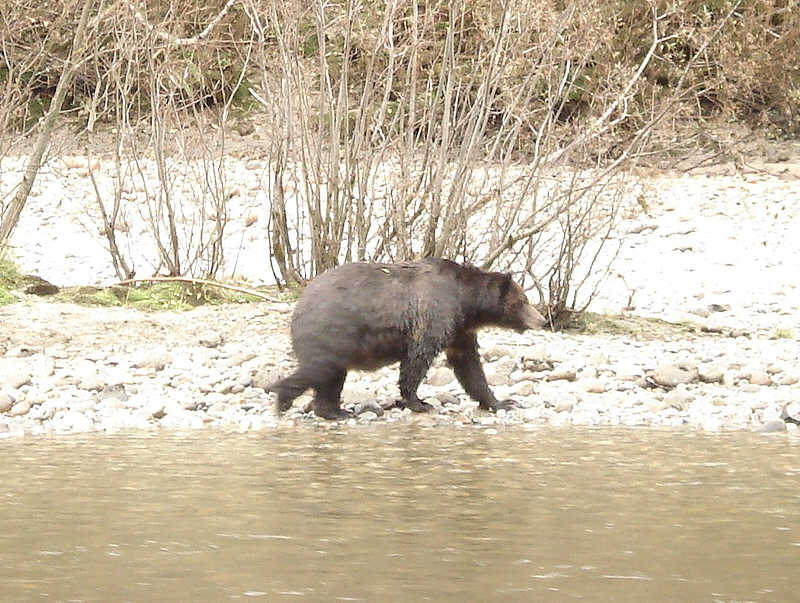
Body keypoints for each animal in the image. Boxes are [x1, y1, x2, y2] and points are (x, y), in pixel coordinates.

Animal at [267, 258, 547, 419]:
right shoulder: (434, 314)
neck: (465, 302)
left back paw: (336, 411)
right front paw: (419, 402)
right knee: (319, 370)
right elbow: (418, 359)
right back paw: (283, 397)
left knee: (331, 378)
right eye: (523, 301)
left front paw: (501, 402)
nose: (542, 320)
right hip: (333, 332)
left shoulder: (460, 330)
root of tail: (300, 303)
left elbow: (470, 367)